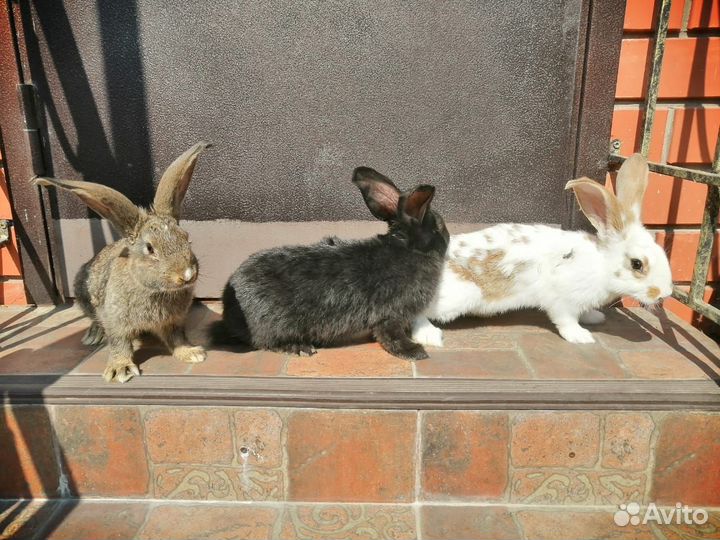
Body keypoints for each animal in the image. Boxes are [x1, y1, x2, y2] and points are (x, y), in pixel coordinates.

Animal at [36, 142, 210, 382]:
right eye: (150, 248)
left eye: (186, 237)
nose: (187, 274)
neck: (153, 290)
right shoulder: (117, 322)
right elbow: (120, 343)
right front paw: (120, 369)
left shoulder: (174, 321)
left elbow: (177, 338)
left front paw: (192, 353)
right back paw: (93, 335)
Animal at [210, 166, 450, 360]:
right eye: (438, 227)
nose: (448, 238)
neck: (408, 249)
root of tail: (228, 307)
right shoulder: (391, 315)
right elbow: (392, 337)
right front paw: (415, 352)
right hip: (273, 324)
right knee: (265, 342)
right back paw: (300, 348)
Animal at [411, 153, 673, 346]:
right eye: (637, 264)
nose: (665, 294)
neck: (601, 264)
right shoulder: (562, 300)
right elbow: (566, 321)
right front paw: (581, 337)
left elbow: (585, 312)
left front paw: (594, 318)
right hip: (459, 295)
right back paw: (430, 336)